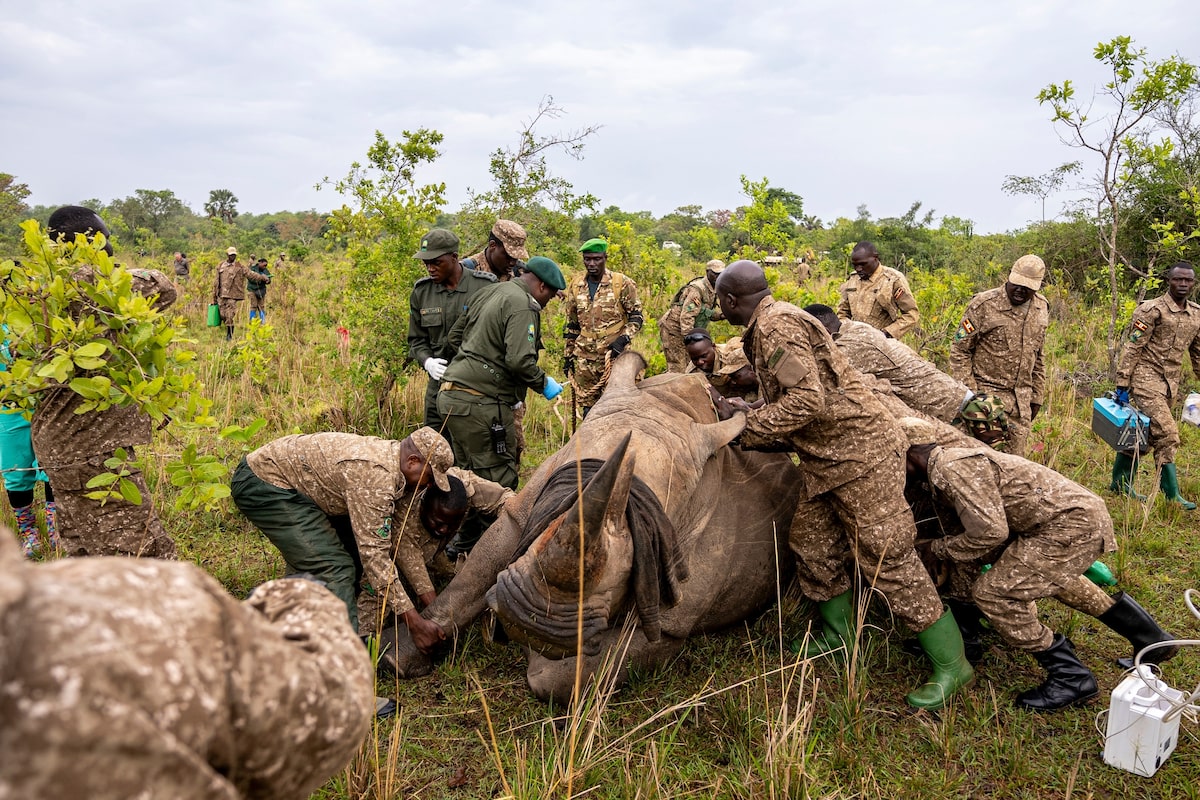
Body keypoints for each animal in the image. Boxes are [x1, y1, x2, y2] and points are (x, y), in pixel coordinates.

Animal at [383, 352, 801, 703]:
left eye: (630, 565)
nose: (531, 623)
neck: (668, 405)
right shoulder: (524, 509)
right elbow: (470, 579)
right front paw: (399, 654)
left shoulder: (673, 615)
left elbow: (563, 677)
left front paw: (540, 656)